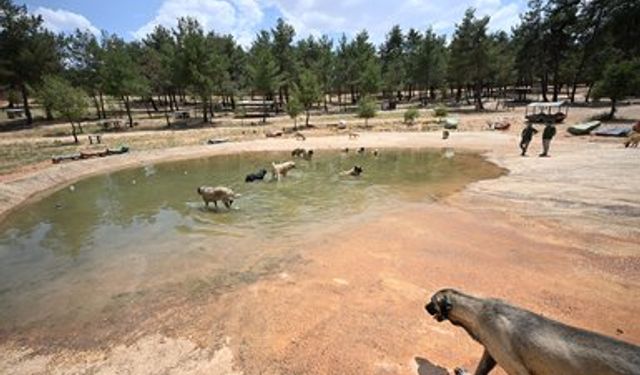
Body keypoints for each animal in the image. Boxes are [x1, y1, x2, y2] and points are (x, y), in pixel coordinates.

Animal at [424, 290, 640, 375]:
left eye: (432, 302)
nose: (424, 306)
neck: (479, 311)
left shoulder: (515, 366)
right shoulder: (492, 350)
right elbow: (482, 368)